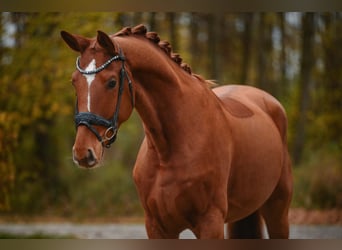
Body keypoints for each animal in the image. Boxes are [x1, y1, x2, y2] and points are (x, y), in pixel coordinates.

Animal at [60, 24, 292, 239]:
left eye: (112, 82)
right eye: (74, 82)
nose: (83, 152)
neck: (171, 149)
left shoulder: (211, 224)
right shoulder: (157, 227)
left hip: (277, 210)